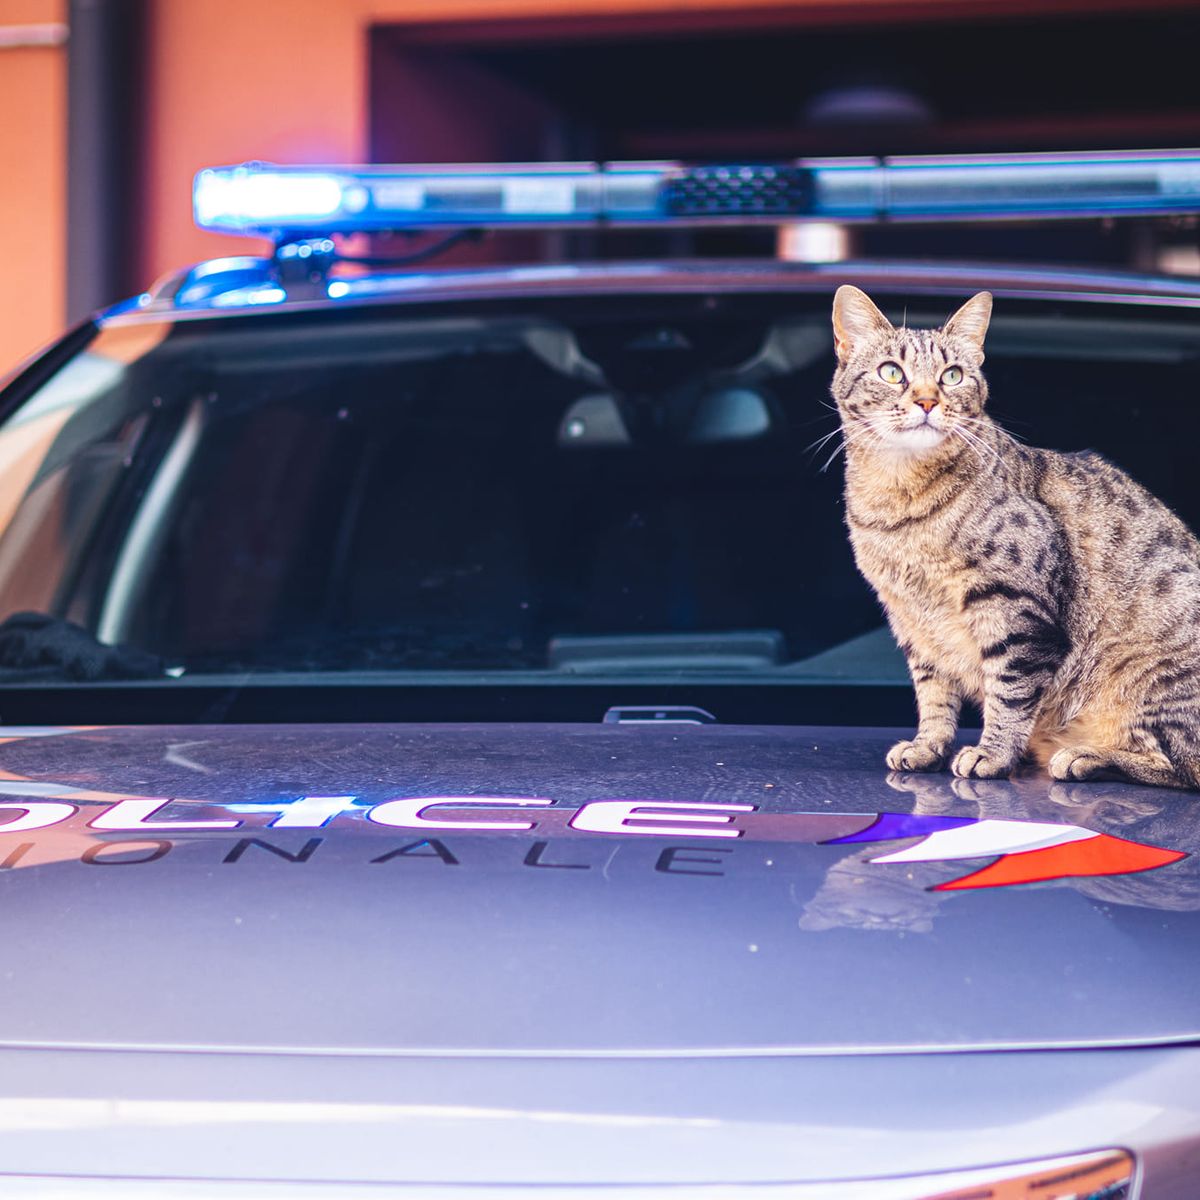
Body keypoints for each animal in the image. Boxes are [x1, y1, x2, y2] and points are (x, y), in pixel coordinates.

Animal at [830, 285, 1200, 792]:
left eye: (952, 376)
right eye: (892, 372)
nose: (926, 402)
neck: (898, 501)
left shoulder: (1016, 611)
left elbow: (1009, 692)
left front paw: (992, 754)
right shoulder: (912, 620)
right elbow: (933, 694)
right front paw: (927, 746)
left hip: (1147, 677)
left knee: (1177, 765)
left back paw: (1084, 756)